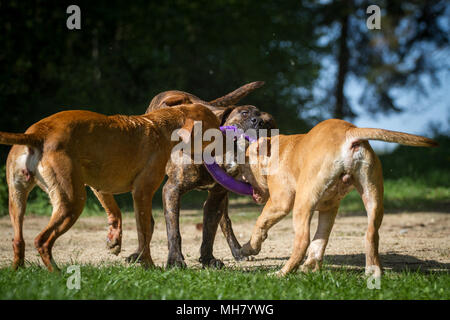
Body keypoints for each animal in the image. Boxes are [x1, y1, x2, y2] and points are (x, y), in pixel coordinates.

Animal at [1, 104, 220, 270]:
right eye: (214, 129)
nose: (228, 141)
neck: (161, 127)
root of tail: (38, 134)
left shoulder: (99, 185)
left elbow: (116, 212)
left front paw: (114, 240)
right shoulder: (142, 193)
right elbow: (144, 233)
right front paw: (148, 265)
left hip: (18, 200)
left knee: (18, 240)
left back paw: (18, 271)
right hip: (72, 202)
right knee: (42, 241)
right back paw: (57, 273)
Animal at [241, 119, 438, 276]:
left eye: (246, 160)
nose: (239, 172)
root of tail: (349, 132)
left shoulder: (281, 202)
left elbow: (260, 222)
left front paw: (250, 247)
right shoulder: (329, 209)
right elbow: (320, 239)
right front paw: (312, 266)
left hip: (303, 203)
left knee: (302, 240)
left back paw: (282, 273)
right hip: (372, 196)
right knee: (371, 235)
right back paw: (373, 272)